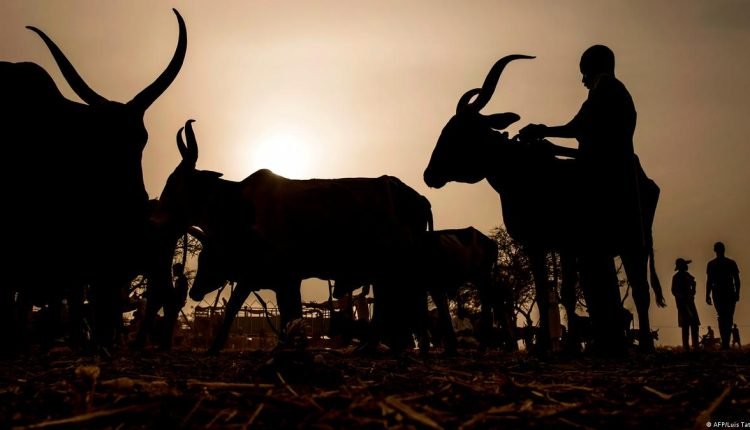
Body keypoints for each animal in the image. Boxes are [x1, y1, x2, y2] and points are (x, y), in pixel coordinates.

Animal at [151, 120, 433, 353]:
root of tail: (416, 196)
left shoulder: (275, 275)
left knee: (394, 306)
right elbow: (284, 312)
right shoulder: (274, 277)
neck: (238, 205)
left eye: (175, 182)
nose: (157, 215)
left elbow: (245, 308)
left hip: (392, 268)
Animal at [423, 54, 667, 353]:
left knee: (641, 290)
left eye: (457, 132)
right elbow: (549, 292)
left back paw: (644, 345)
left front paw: (566, 346)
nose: (428, 174)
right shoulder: (544, 244)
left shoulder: (561, 243)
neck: (524, 173)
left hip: (634, 243)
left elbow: (564, 293)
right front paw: (549, 347)